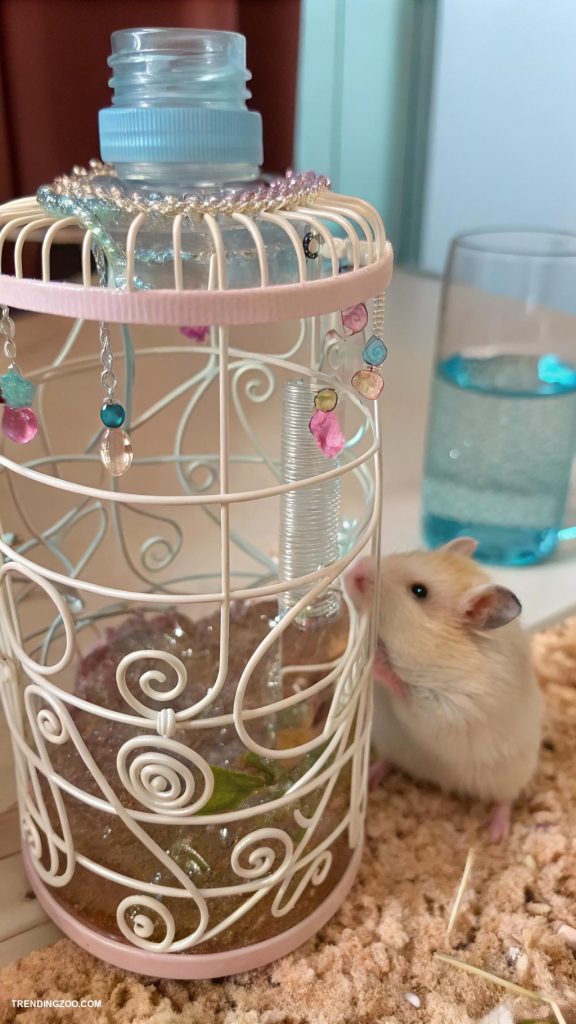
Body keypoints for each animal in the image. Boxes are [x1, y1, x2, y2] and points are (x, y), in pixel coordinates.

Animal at [346, 537, 543, 841]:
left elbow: (405, 690)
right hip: (393, 745)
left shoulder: (449, 710)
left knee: (506, 799)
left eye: (419, 591)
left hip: (512, 775)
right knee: (389, 762)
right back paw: (369, 776)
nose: (352, 571)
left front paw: (377, 656)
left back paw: (496, 833)